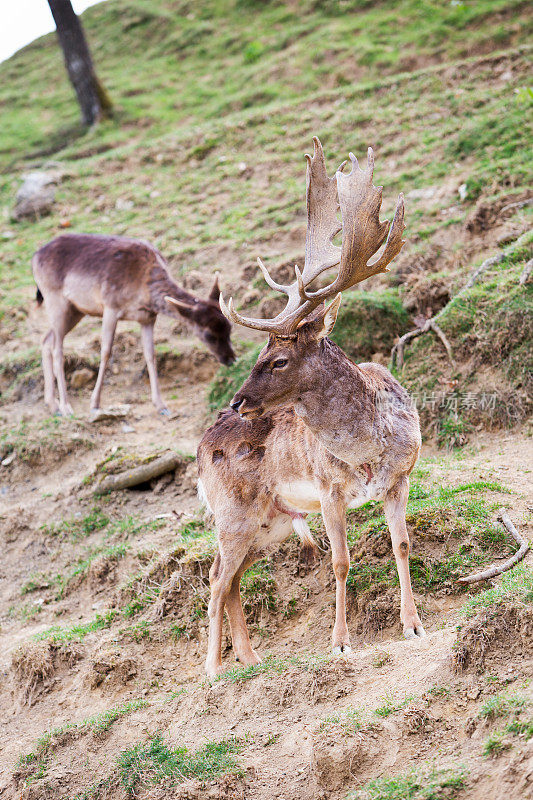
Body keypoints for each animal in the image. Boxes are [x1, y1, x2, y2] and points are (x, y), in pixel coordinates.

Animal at [32, 234, 234, 416]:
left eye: (229, 328)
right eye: (209, 335)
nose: (231, 359)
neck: (143, 289)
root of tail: (34, 257)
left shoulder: (147, 318)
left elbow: (150, 354)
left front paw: (161, 405)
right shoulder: (110, 306)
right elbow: (106, 352)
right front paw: (95, 403)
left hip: (76, 310)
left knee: (46, 340)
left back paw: (53, 404)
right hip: (55, 299)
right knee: (57, 350)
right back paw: (65, 406)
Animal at [196, 138, 424, 676]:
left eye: (278, 359)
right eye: (260, 354)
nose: (238, 400)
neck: (367, 449)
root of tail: (198, 450)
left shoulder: (401, 477)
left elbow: (402, 544)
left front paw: (413, 625)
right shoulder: (327, 489)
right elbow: (339, 562)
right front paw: (340, 642)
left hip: (270, 522)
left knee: (231, 581)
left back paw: (251, 658)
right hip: (231, 514)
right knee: (214, 579)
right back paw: (214, 669)